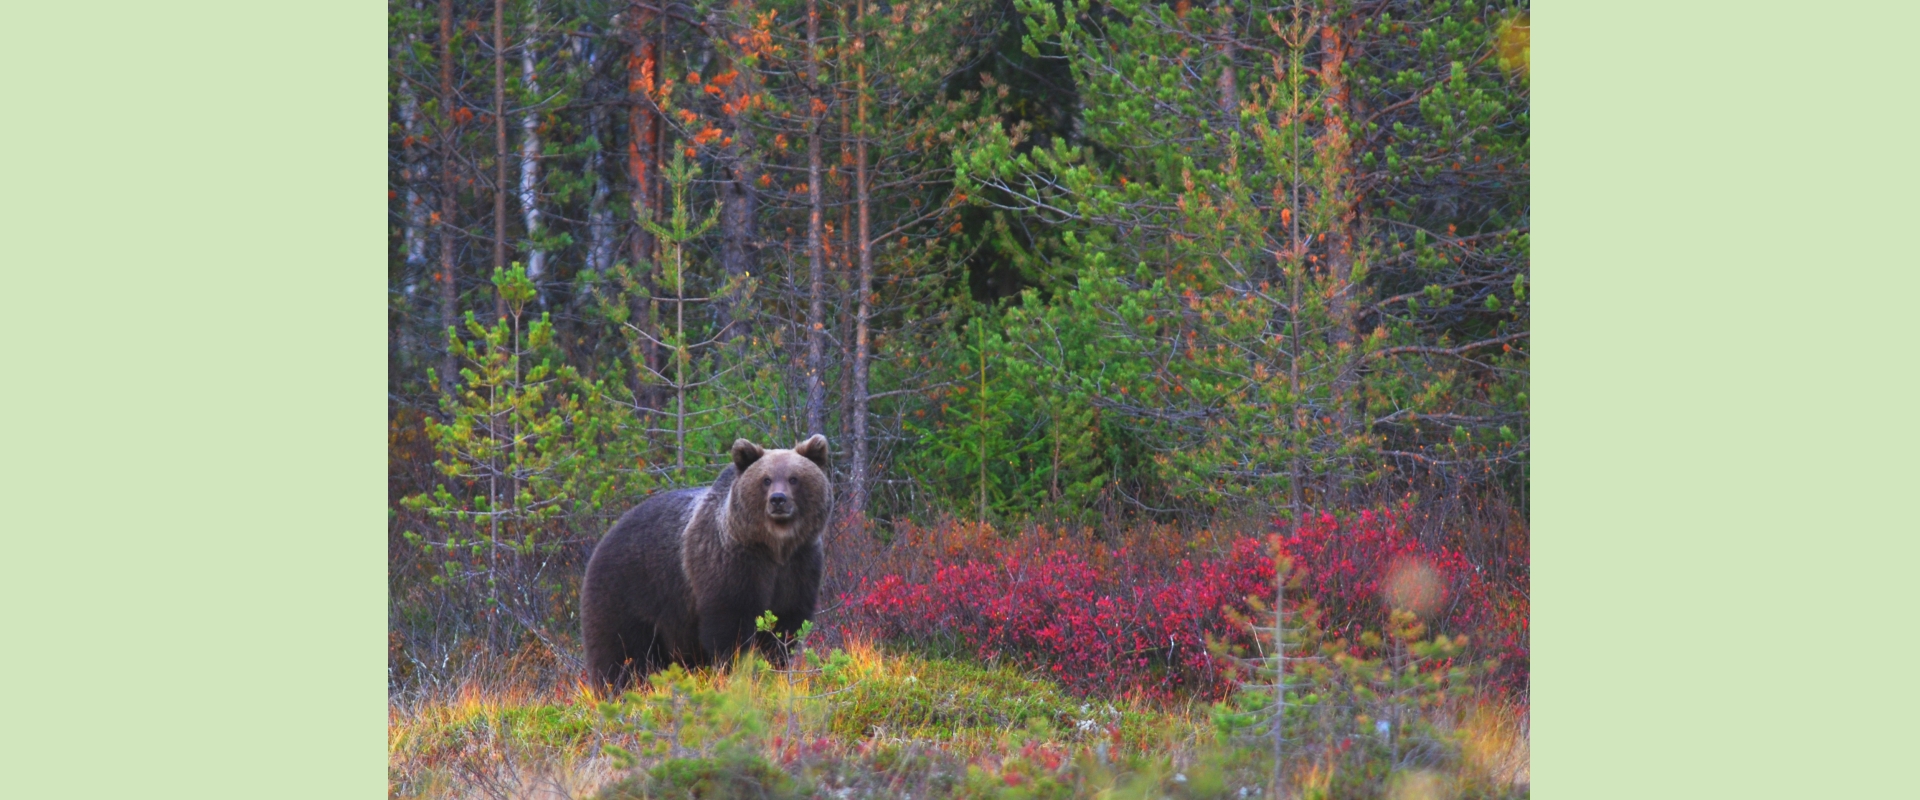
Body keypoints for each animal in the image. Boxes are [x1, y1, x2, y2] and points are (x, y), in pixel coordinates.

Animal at [579, 433, 829, 690]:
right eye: (766, 479)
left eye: (794, 478)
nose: (778, 500)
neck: (774, 546)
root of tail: (604, 538)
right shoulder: (731, 563)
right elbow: (730, 626)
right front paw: (738, 671)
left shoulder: (799, 565)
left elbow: (786, 625)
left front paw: (773, 667)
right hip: (625, 594)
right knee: (619, 653)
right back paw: (614, 688)